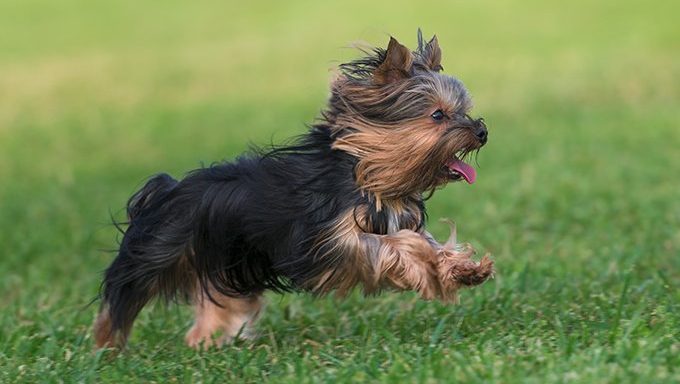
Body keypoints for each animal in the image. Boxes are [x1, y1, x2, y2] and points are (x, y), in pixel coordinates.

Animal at [93, 30, 492, 348]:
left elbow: (428, 243)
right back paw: (106, 347)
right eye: (438, 115)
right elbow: (395, 246)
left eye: (463, 110)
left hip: (224, 266)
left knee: (219, 307)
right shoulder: (330, 241)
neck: (368, 173)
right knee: (122, 293)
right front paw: (428, 266)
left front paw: (462, 269)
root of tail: (167, 190)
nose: (482, 131)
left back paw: (207, 342)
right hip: (158, 251)